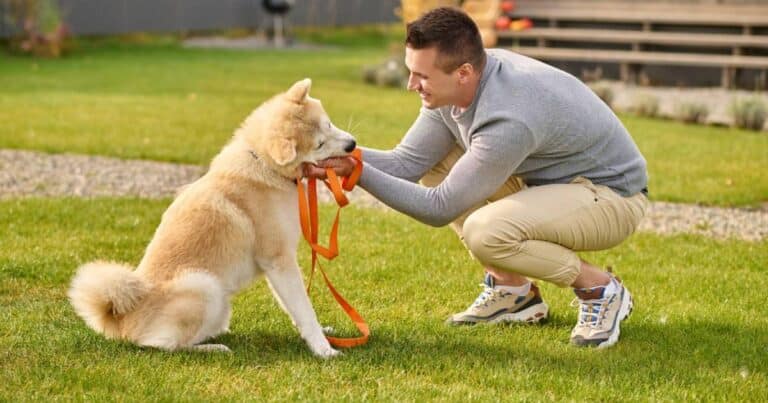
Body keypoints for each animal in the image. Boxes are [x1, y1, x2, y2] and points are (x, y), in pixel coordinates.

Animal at [67, 78, 356, 356]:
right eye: (319, 144)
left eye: (329, 124)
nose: (352, 144)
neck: (264, 165)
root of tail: (122, 318)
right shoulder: (278, 260)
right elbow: (303, 308)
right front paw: (323, 349)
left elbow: (296, 308)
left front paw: (323, 334)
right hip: (204, 285)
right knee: (161, 344)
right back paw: (211, 348)